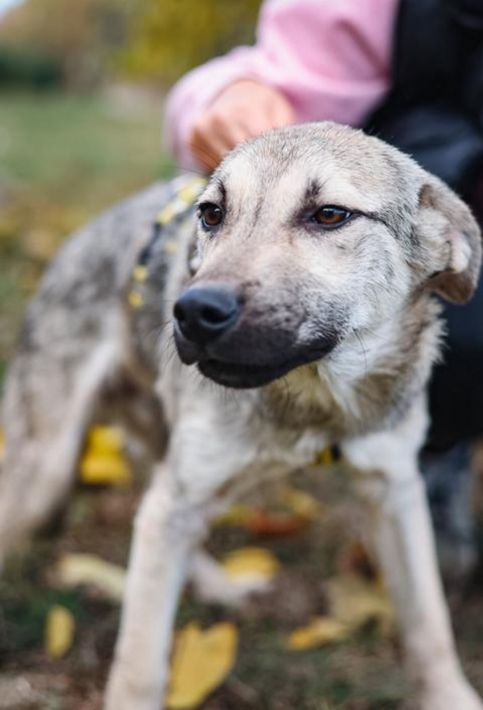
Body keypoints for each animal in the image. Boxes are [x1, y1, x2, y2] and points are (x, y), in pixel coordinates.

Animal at [1, 122, 482, 709]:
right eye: (212, 214)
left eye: (329, 215)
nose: (193, 312)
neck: (312, 405)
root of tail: (83, 232)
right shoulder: (181, 495)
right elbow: (139, 662)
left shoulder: (394, 489)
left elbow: (428, 623)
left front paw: (451, 696)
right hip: (45, 476)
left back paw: (215, 584)